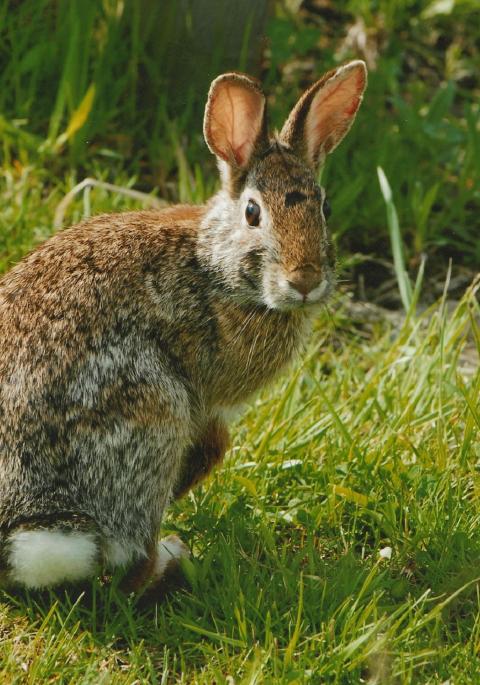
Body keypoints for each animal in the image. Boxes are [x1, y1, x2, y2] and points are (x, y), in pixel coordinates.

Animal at [0, 60, 367, 591]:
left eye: (326, 208)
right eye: (253, 212)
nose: (305, 280)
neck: (214, 267)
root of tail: (26, 524)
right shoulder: (205, 399)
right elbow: (216, 443)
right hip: (150, 413)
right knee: (131, 561)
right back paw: (173, 557)